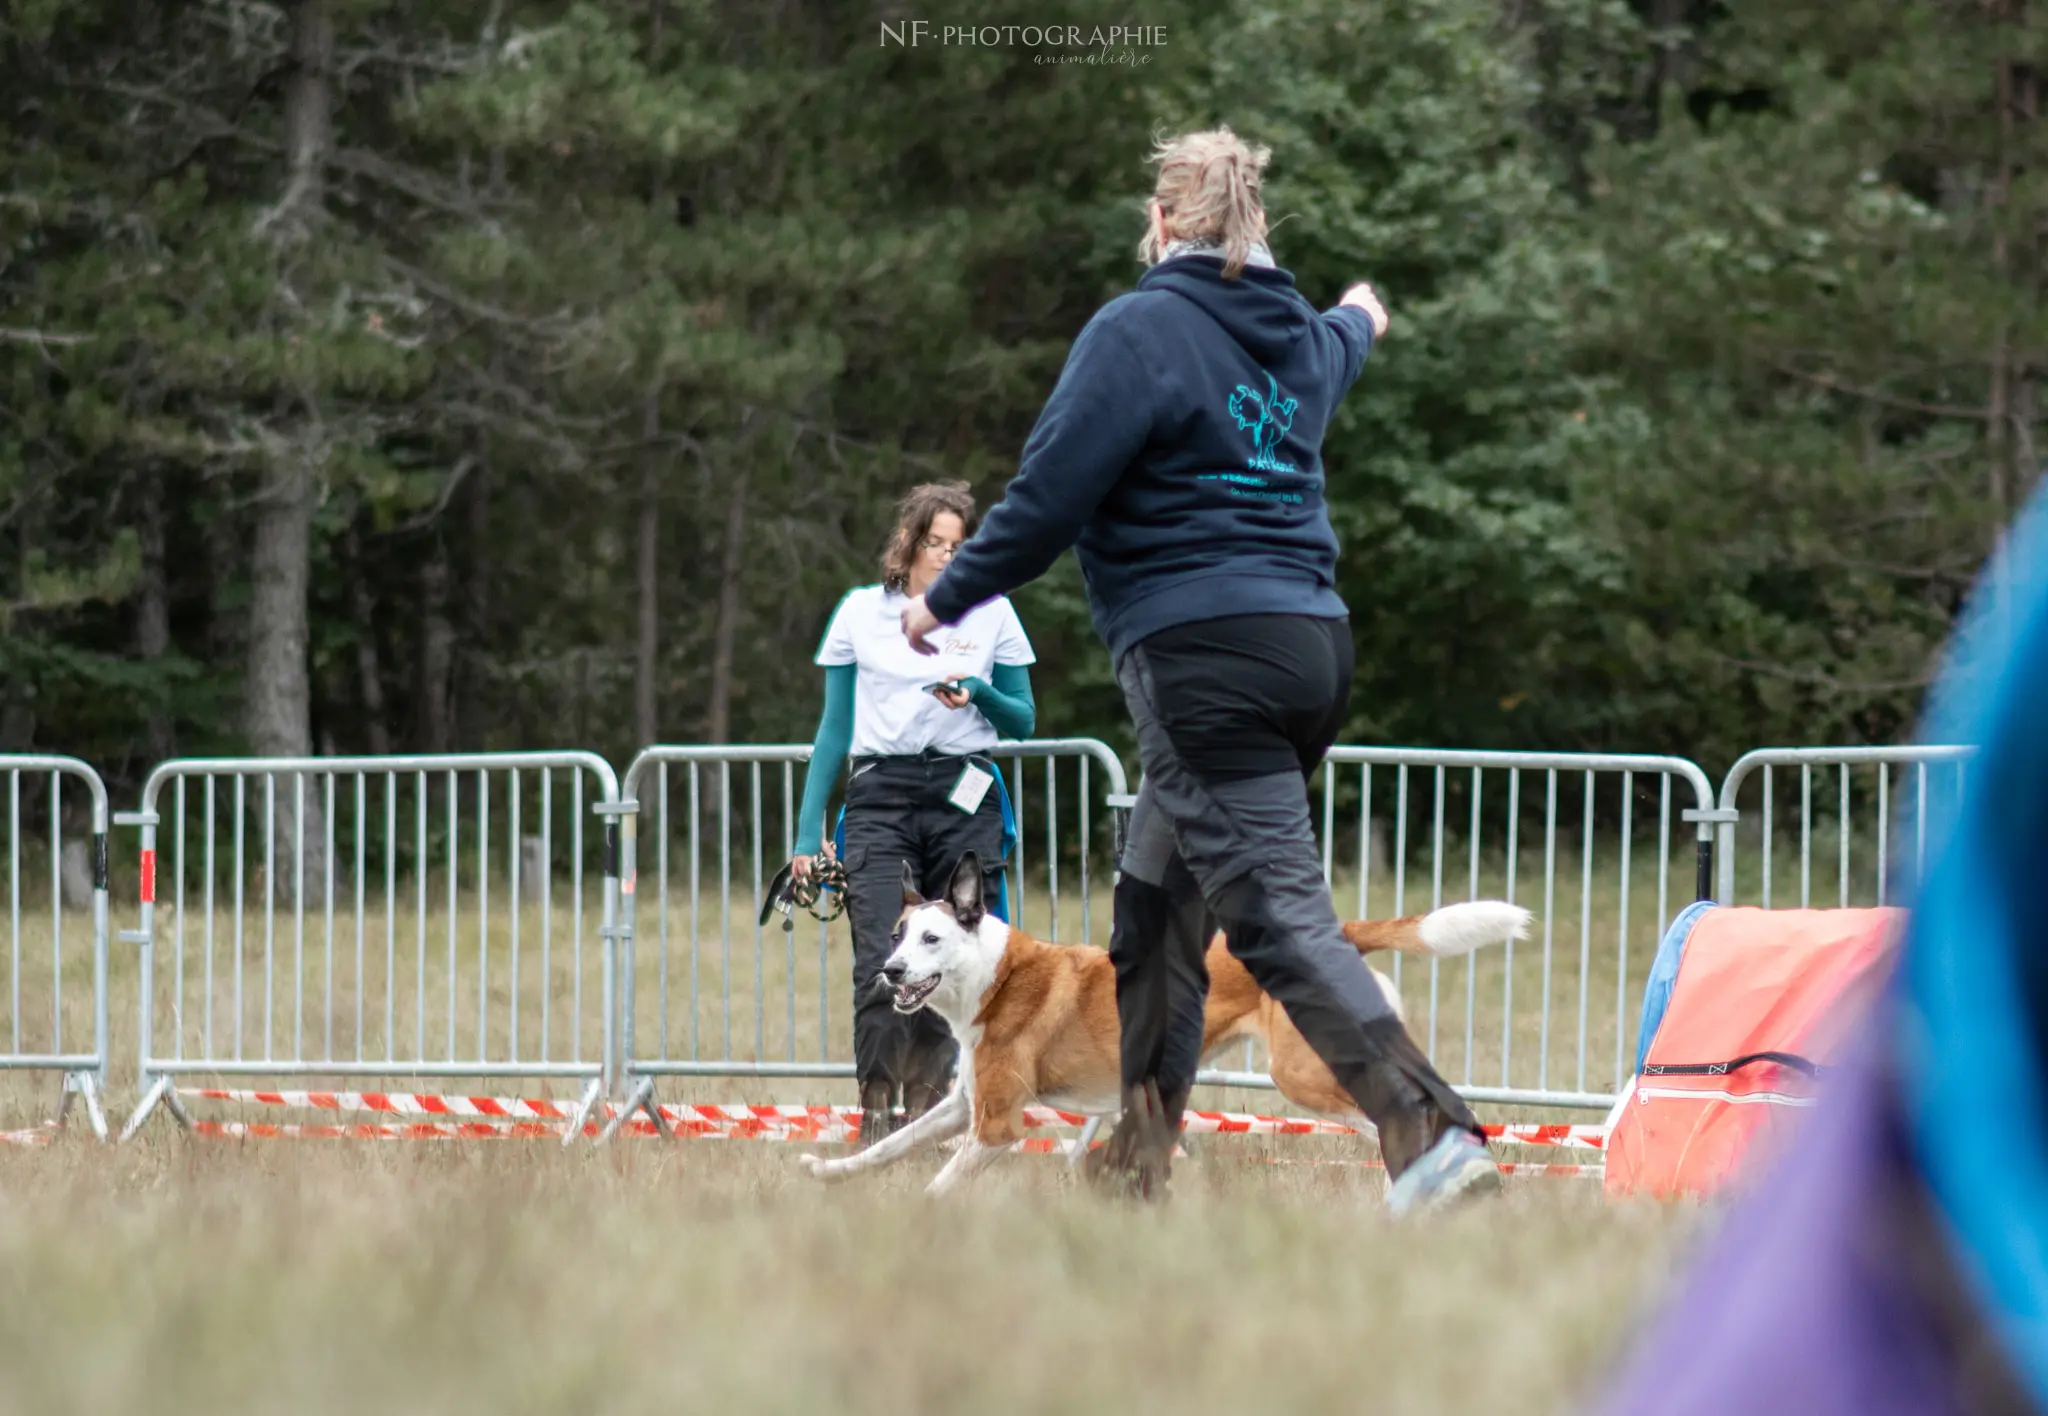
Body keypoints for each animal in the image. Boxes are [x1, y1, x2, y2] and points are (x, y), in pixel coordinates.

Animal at [802, 852, 1540, 1196]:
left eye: (931, 939)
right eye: (897, 934)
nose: (889, 971)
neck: (991, 972)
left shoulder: (998, 1124)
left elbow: (940, 1182)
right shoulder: (964, 1107)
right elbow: (889, 1146)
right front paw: (828, 1171)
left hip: (1302, 1073)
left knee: (1401, 1110)